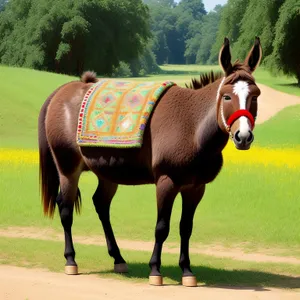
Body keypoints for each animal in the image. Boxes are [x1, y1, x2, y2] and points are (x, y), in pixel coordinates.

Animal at [38, 37, 262, 286]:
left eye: (255, 95)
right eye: (227, 96)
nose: (243, 136)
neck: (192, 127)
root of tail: (61, 92)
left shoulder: (195, 188)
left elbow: (186, 228)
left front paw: (187, 270)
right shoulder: (166, 182)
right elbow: (161, 227)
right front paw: (155, 269)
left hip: (107, 174)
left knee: (101, 205)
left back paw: (118, 258)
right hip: (68, 169)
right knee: (65, 209)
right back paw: (71, 260)